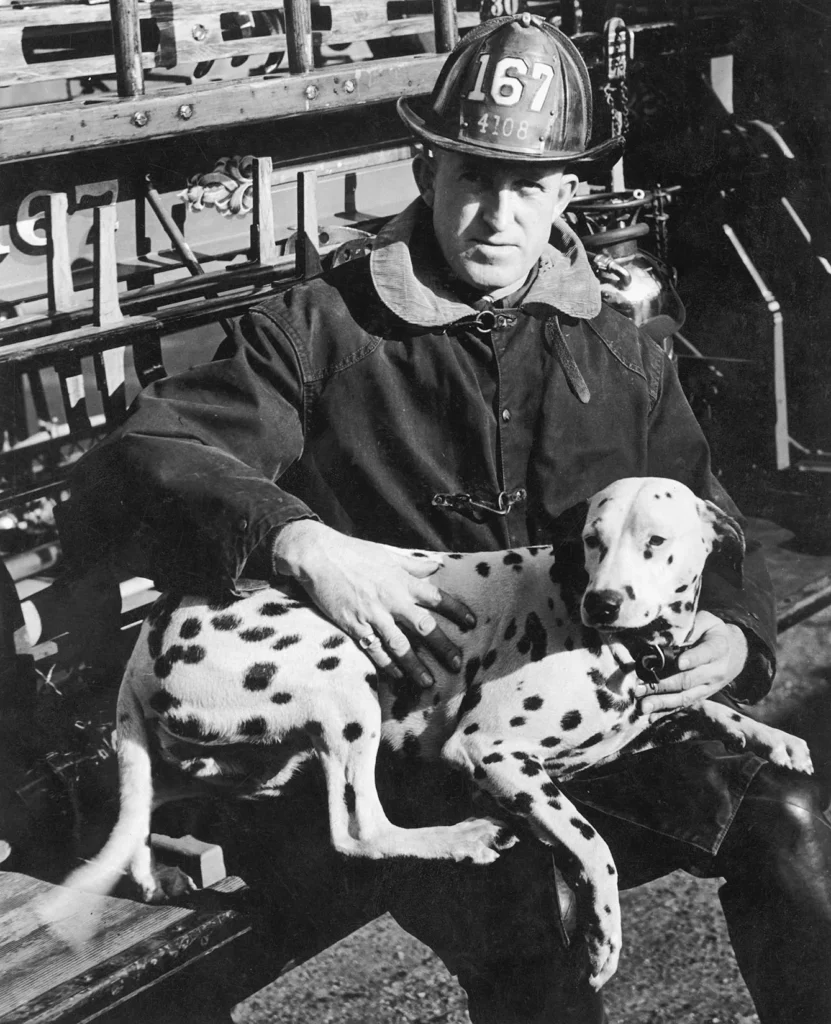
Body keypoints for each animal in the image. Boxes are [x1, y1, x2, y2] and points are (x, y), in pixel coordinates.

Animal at [48, 475, 806, 987]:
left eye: (656, 543)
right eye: (594, 541)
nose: (604, 601)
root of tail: (146, 635)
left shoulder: (648, 710)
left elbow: (710, 707)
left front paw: (773, 738)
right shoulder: (492, 752)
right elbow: (594, 845)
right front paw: (602, 941)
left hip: (251, 762)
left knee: (149, 798)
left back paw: (151, 870)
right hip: (343, 678)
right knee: (357, 828)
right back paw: (463, 838)